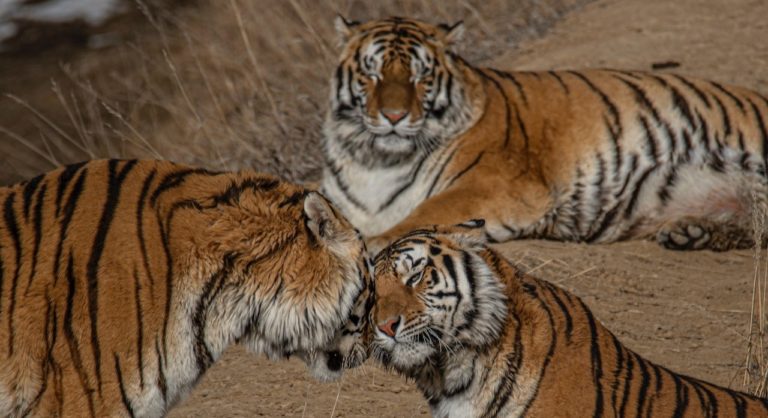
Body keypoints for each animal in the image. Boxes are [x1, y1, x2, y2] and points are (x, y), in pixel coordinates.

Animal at [321, 16, 768, 252]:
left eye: (420, 76)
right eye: (372, 74)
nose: (394, 115)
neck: (375, 160)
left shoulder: (493, 185)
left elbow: (425, 212)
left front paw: (371, 243)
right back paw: (690, 232)